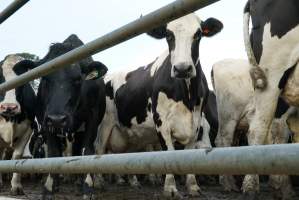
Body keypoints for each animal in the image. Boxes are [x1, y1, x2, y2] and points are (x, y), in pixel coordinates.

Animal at [16, 34, 108, 200]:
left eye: (78, 79)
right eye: (44, 78)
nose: (57, 118)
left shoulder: (92, 119)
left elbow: (87, 150)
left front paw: (87, 188)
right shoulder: (45, 121)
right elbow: (53, 153)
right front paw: (49, 189)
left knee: (78, 150)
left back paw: (78, 182)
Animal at [95, 14, 223, 198]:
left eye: (198, 34)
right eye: (168, 35)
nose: (182, 68)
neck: (187, 97)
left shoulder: (196, 122)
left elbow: (189, 154)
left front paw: (192, 186)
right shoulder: (162, 123)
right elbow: (168, 154)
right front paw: (170, 188)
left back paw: (133, 182)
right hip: (103, 125)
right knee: (97, 150)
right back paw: (96, 182)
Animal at [214, 59, 296, 200]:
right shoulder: (280, 113)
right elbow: (279, 139)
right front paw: (282, 188)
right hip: (228, 115)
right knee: (223, 140)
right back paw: (228, 184)